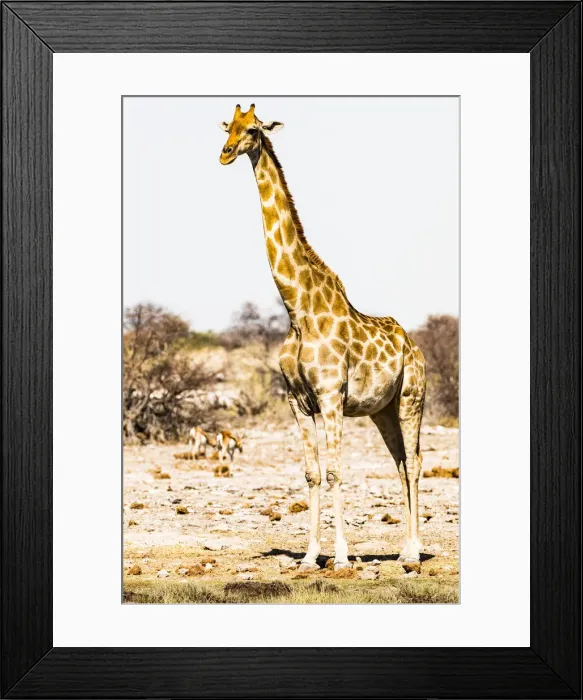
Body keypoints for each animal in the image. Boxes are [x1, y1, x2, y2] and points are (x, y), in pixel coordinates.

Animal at [219, 104, 426, 569]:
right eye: (228, 127)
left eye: (252, 129)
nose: (224, 153)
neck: (298, 309)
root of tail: (416, 346)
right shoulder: (297, 400)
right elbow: (312, 472)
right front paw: (310, 556)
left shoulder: (332, 396)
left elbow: (334, 471)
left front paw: (343, 557)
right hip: (382, 410)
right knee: (400, 462)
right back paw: (404, 548)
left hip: (412, 398)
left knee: (416, 462)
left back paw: (412, 553)